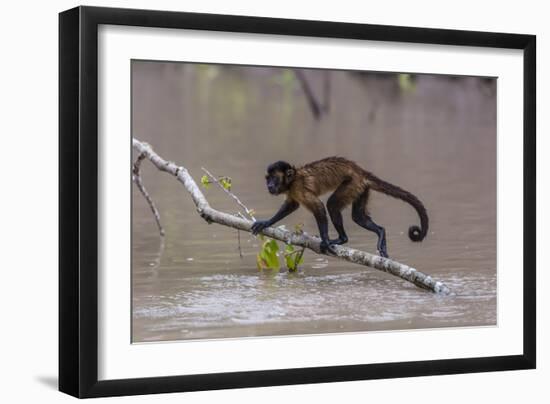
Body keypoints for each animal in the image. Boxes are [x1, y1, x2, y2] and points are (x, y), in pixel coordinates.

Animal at [251, 156, 432, 258]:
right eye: (268, 179)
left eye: (274, 179)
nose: (269, 186)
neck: (292, 180)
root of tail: (361, 172)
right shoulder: (293, 191)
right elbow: (291, 205)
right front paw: (266, 222)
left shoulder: (299, 187)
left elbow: (319, 207)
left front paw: (325, 240)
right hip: (361, 188)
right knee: (358, 217)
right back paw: (381, 232)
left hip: (352, 183)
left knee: (332, 205)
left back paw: (341, 239)